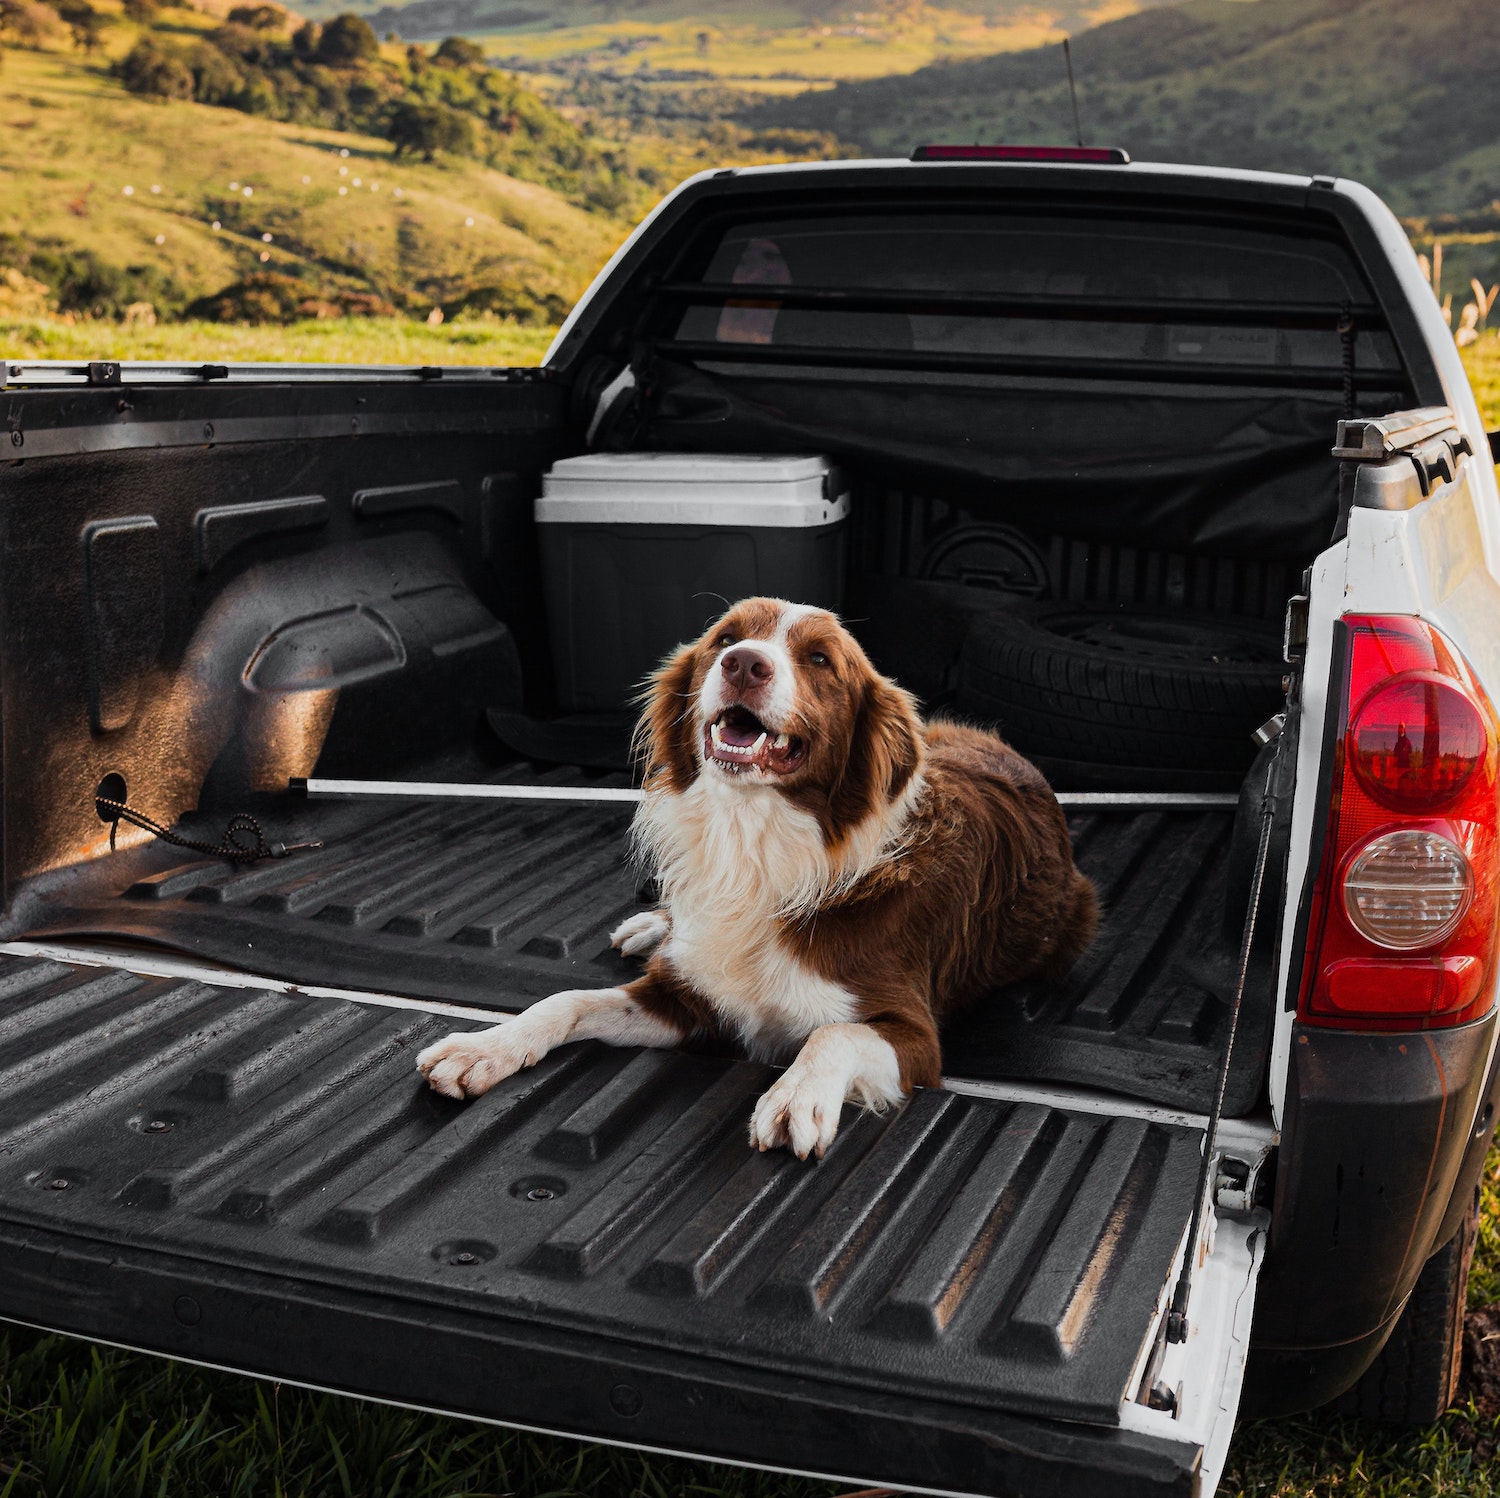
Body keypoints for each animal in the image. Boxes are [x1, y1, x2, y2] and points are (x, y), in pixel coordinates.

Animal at [417, 596, 1098, 1157]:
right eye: (725, 639)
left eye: (820, 659)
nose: (744, 664)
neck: (753, 840)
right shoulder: (685, 999)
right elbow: (566, 1000)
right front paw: (486, 1047)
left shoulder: (914, 1034)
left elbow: (834, 1033)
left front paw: (796, 1097)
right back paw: (652, 925)